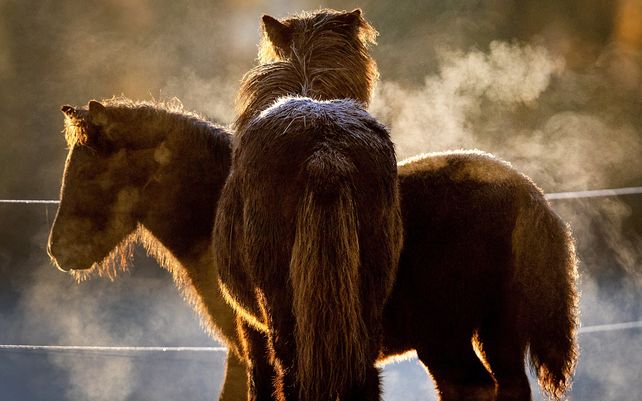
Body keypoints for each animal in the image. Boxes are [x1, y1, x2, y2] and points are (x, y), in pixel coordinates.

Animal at [48, 98, 578, 401]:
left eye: (89, 168)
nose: (58, 250)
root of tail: (531, 197)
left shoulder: (251, 346)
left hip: (444, 338)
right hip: (493, 334)